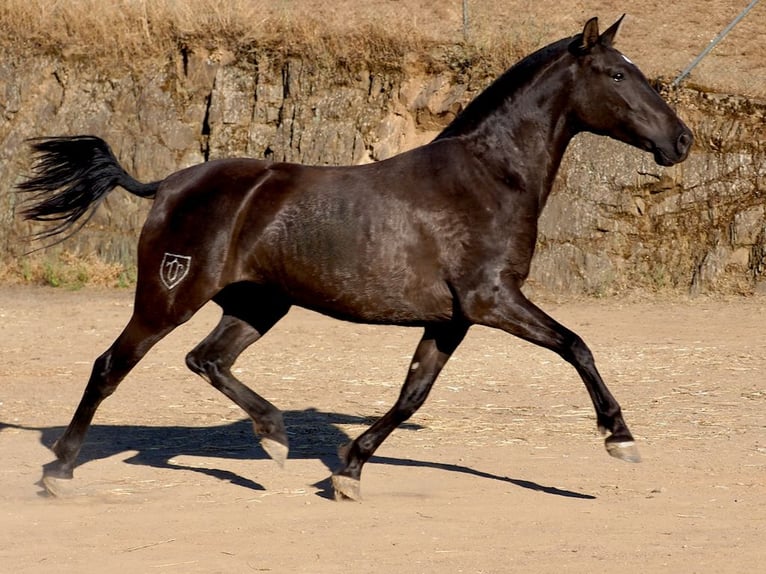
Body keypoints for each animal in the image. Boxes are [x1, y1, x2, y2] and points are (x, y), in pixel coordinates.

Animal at [18, 16, 692, 504]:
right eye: (616, 74)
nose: (681, 141)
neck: (487, 179)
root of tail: (168, 184)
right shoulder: (492, 300)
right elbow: (577, 345)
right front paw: (620, 438)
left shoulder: (452, 319)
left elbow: (412, 395)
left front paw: (348, 471)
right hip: (170, 295)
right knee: (111, 365)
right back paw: (59, 473)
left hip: (259, 305)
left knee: (206, 359)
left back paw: (274, 437)